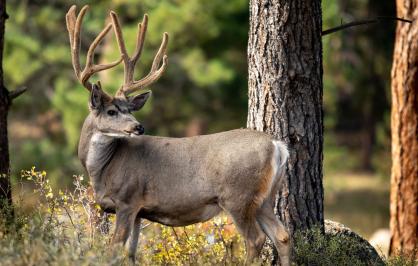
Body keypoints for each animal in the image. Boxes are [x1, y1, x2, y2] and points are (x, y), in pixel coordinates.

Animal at [67, 5, 292, 264]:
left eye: (128, 110)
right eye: (112, 111)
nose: (138, 127)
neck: (103, 169)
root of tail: (277, 146)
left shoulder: (127, 200)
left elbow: (114, 249)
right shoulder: (139, 210)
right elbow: (131, 253)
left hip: (238, 196)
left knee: (255, 239)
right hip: (265, 198)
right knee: (283, 236)